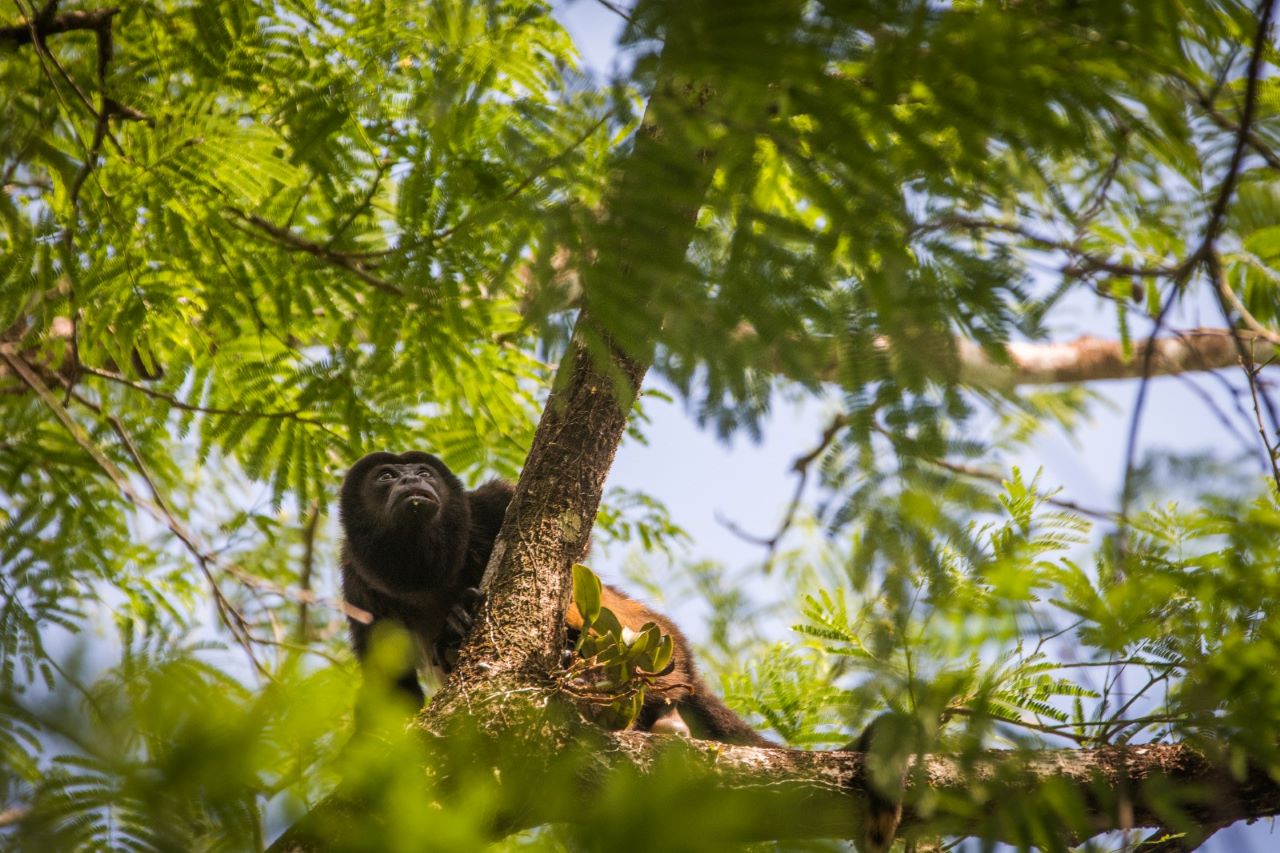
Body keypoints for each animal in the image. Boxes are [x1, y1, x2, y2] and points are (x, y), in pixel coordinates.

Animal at [335, 450, 762, 742]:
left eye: (424, 473)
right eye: (386, 476)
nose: (411, 481)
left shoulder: (488, 504)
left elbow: (570, 551)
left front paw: (459, 615)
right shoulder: (356, 585)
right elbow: (390, 682)